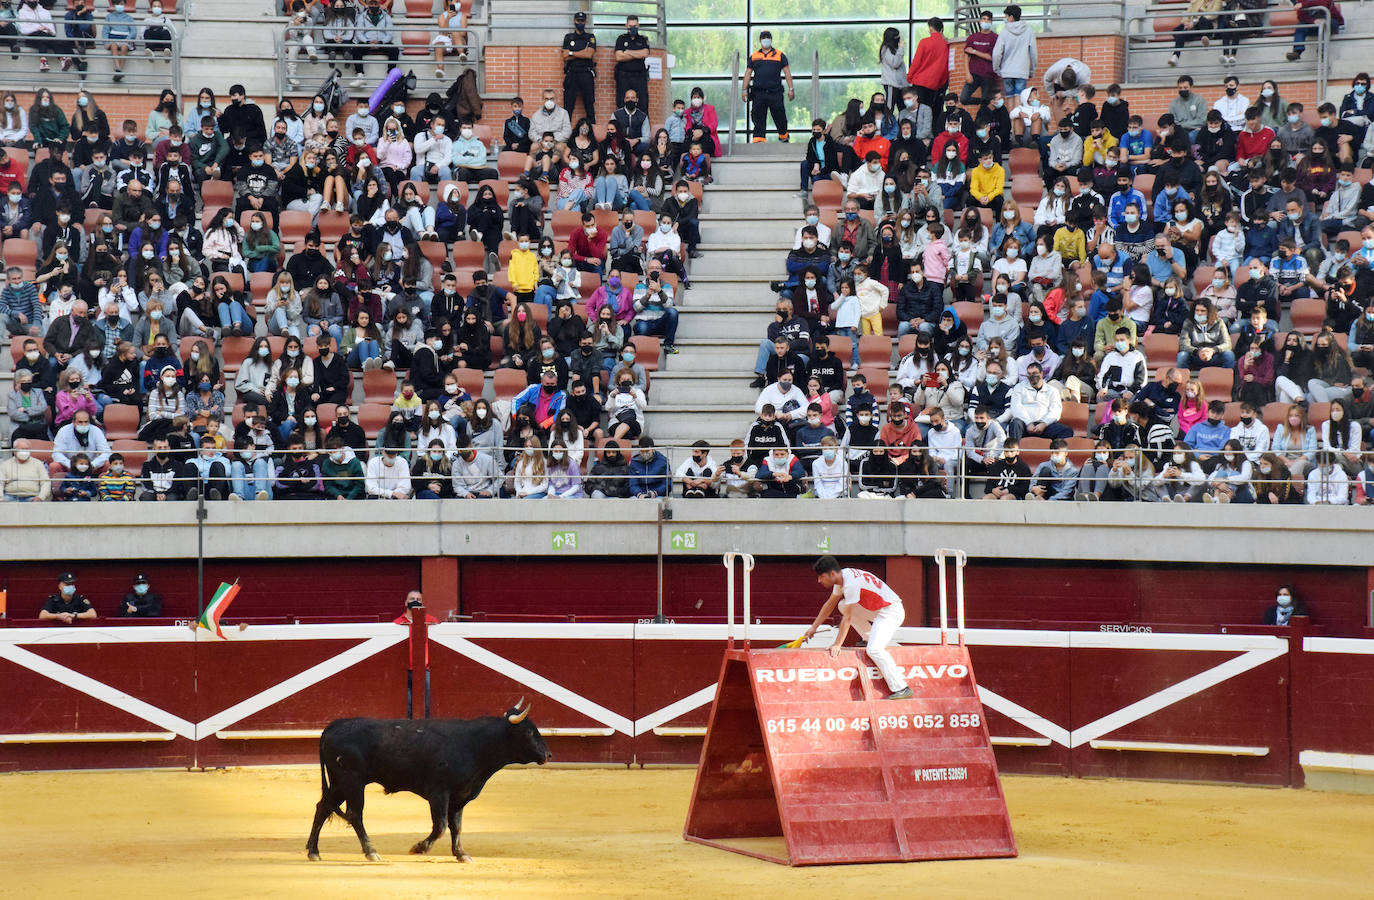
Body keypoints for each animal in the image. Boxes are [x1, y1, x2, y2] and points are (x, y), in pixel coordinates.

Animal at [307, 700, 552, 862]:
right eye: (529, 732)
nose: (548, 755)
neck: (476, 744)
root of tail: (335, 725)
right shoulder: (439, 793)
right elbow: (441, 826)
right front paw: (419, 848)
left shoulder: (459, 796)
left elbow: (457, 826)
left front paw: (461, 854)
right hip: (352, 781)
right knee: (354, 814)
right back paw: (371, 852)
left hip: (339, 783)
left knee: (323, 807)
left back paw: (313, 851)